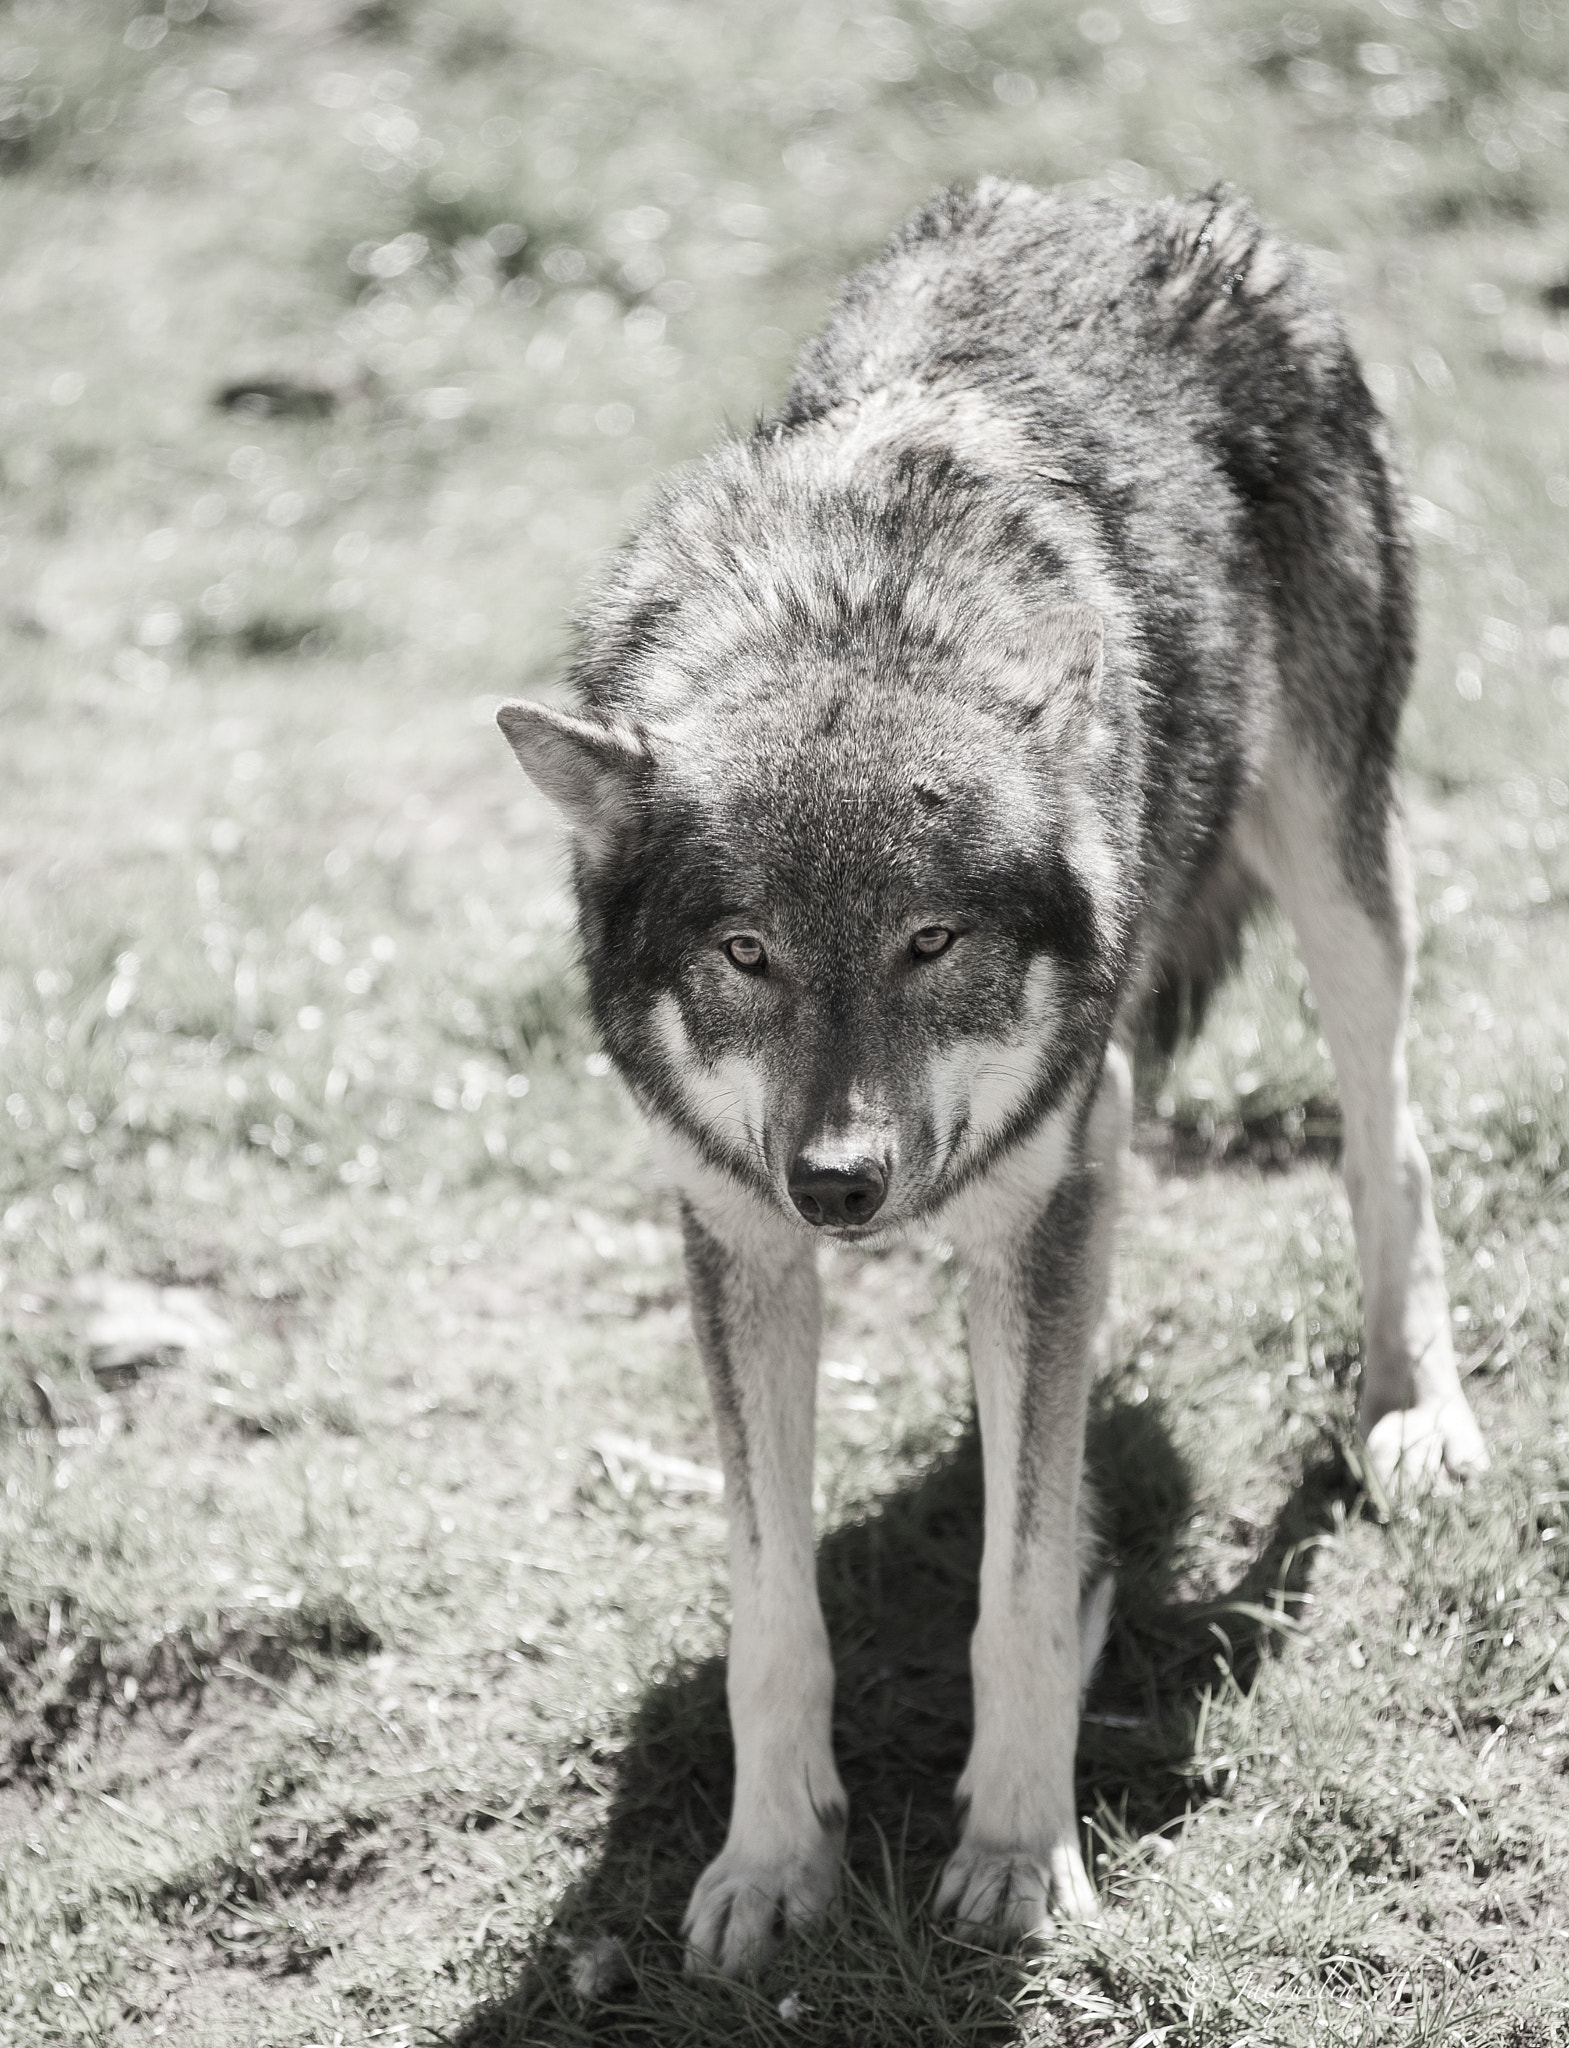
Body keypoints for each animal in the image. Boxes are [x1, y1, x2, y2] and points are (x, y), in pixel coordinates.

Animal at [495, 180, 1487, 1975]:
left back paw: (1411, 1410)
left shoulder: (1048, 1185)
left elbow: (1016, 1591)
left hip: (1332, 861)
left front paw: (1020, 1851)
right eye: (744, 951)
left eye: (928, 939)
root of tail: (1134, 193)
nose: (839, 1182)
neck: (852, 605)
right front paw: (772, 1859)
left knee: (1388, 1141)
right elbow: (771, 1611)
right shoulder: (734, 1231)